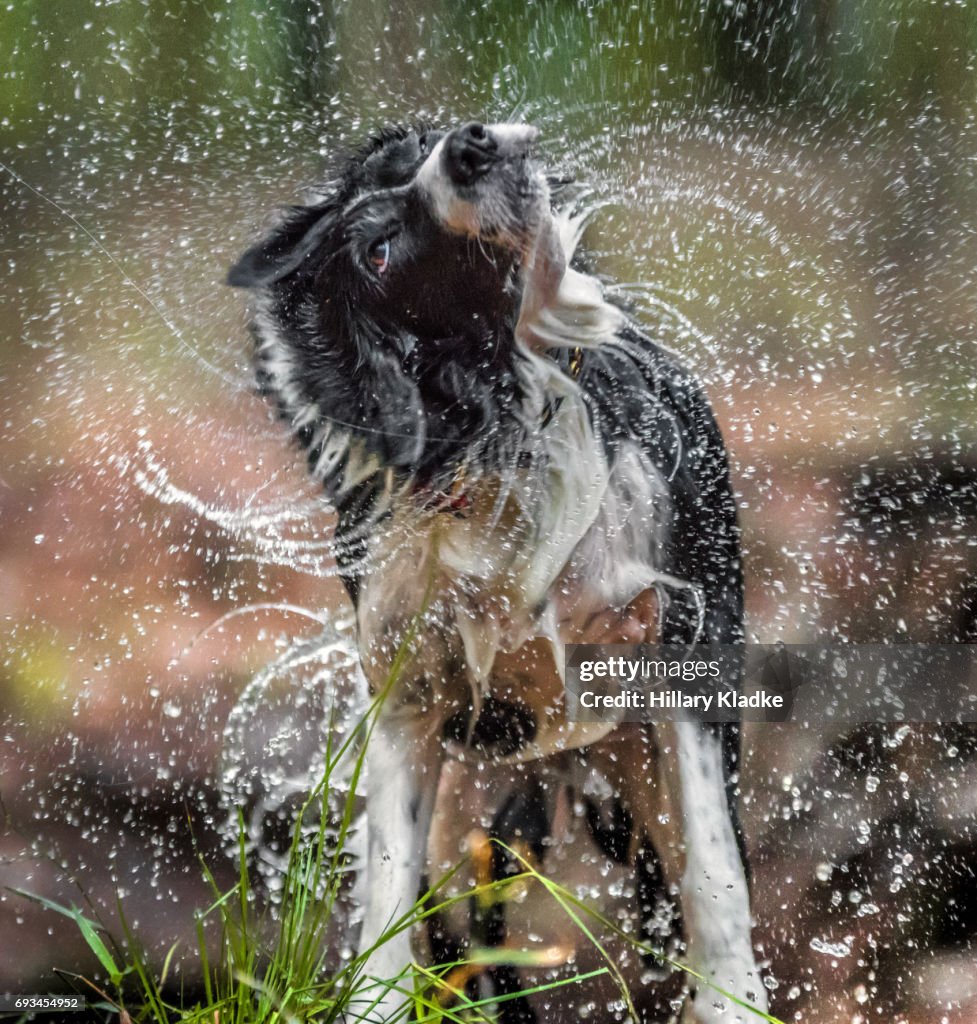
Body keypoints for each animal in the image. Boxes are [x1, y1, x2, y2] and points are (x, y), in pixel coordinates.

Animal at [228, 121, 761, 1024]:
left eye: (415, 144)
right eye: (377, 251)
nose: (468, 145)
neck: (508, 423)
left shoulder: (686, 644)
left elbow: (714, 873)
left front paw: (735, 1001)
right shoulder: (406, 697)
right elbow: (386, 890)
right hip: (472, 814)